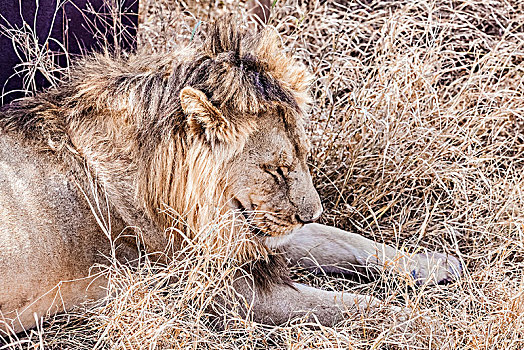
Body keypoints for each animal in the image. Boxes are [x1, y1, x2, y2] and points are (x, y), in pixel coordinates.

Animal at [0, 18, 460, 334]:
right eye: (275, 169)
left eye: (303, 157)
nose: (311, 212)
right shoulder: (223, 292)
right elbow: (355, 307)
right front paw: (430, 325)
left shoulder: (253, 235)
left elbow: (342, 240)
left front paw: (434, 263)